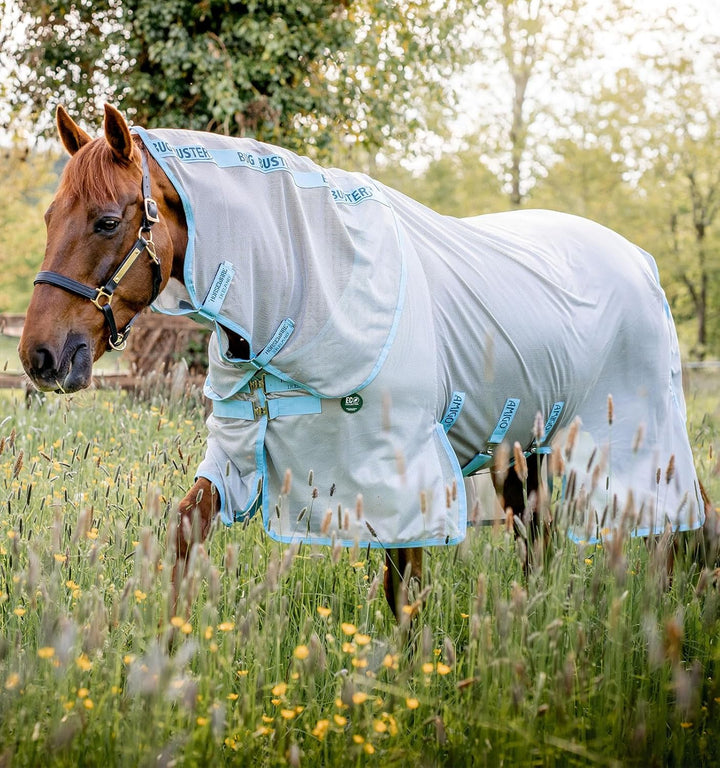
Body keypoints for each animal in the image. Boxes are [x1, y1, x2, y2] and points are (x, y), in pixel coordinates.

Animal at [19, 104, 710, 619]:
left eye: (108, 221)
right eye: (50, 216)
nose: (41, 356)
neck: (311, 283)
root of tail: (640, 259)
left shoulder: (402, 476)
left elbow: (403, 590)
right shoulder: (239, 453)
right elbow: (188, 528)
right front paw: (169, 659)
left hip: (632, 440)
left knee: (676, 523)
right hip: (526, 449)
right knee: (539, 543)